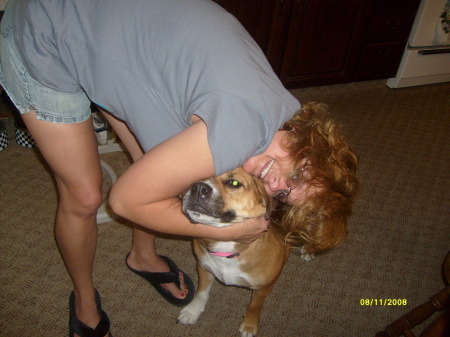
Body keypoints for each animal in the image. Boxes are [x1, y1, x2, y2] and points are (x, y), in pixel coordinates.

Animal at [178, 167, 290, 336]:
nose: (198, 188)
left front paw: (249, 325)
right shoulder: (203, 268)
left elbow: (254, 306)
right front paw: (193, 311)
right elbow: (202, 292)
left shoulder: (263, 288)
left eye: (234, 183)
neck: (226, 248)